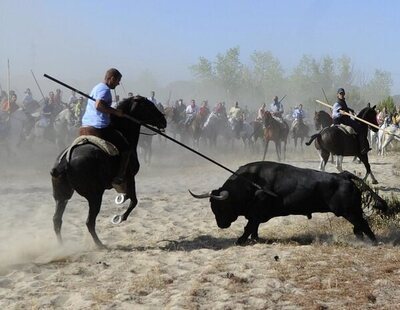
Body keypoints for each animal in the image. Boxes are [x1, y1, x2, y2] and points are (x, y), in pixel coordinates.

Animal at [50, 95, 166, 248]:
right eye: (149, 106)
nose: (164, 120)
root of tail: (65, 162)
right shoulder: (130, 178)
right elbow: (134, 201)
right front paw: (121, 217)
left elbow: (129, 197)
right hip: (94, 196)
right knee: (89, 222)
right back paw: (100, 245)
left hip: (62, 196)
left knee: (57, 220)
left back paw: (62, 246)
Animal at [191, 162, 388, 245]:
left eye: (220, 206)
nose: (221, 225)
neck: (250, 183)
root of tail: (342, 175)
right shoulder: (256, 215)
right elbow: (254, 227)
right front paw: (254, 238)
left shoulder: (256, 213)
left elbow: (249, 227)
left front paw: (240, 240)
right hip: (352, 211)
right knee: (359, 227)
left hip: (350, 211)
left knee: (364, 225)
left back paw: (373, 243)